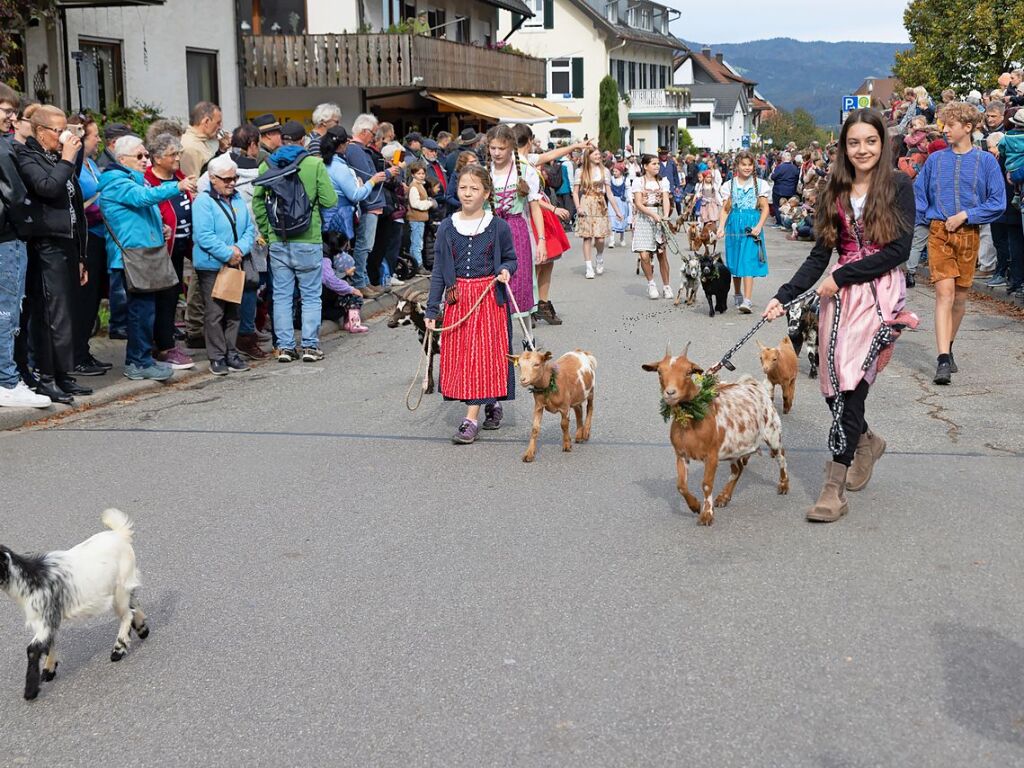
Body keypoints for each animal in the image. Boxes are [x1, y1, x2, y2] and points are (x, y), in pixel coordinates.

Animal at [0, 512, 148, 704]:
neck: (30, 578)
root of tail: (120, 534)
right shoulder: (49, 618)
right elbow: (49, 643)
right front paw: (48, 671)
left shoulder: (45, 617)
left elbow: (33, 649)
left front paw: (30, 692)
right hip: (123, 587)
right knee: (133, 605)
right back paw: (143, 629)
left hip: (120, 587)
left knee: (126, 615)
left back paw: (118, 650)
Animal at [638, 346, 790, 528]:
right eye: (659, 372)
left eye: (688, 372)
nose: (670, 393)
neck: (693, 418)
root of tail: (755, 386)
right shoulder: (681, 454)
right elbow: (681, 485)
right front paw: (695, 506)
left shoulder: (711, 456)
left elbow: (706, 484)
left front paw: (706, 515)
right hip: (733, 448)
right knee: (738, 469)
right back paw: (724, 497)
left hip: (772, 431)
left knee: (781, 456)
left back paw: (783, 485)